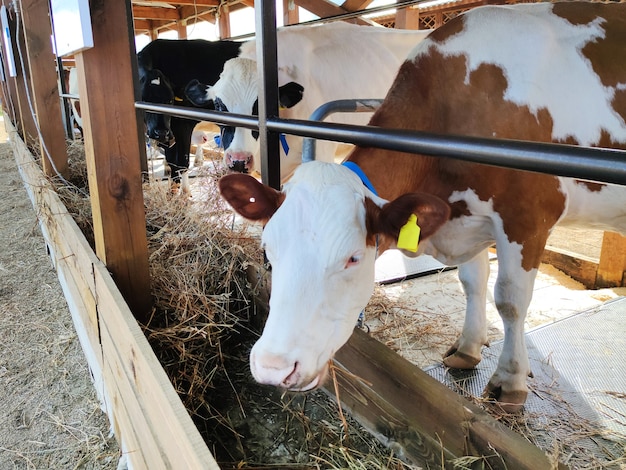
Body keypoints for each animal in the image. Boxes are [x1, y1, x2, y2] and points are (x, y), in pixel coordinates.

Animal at [136, 38, 241, 187]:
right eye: (144, 99)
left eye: (170, 101)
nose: (160, 132)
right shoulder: (171, 131)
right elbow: (172, 161)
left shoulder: (183, 124)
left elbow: (181, 163)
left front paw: (182, 192)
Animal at [213, 0, 624, 412]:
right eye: (268, 250)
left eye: (353, 259)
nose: (273, 366)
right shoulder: (464, 216)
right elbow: (472, 280)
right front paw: (468, 347)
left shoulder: (526, 218)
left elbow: (510, 300)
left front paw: (510, 380)